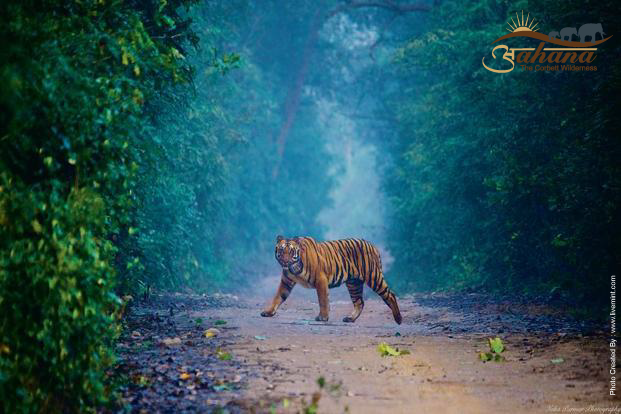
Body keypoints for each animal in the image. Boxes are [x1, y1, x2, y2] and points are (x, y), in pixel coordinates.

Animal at [258, 236, 400, 324]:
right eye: (282, 250)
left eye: (291, 251)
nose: (285, 262)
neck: (294, 268)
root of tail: (372, 245)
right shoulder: (286, 282)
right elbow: (278, 297)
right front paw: (268, 312)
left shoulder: (321, 280)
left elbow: (322, 300)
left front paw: (323, 317)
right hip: (353, 283)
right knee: (359, 302)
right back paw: (350, 318)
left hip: (373, 277)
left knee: (390, 294)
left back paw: (398, 319)